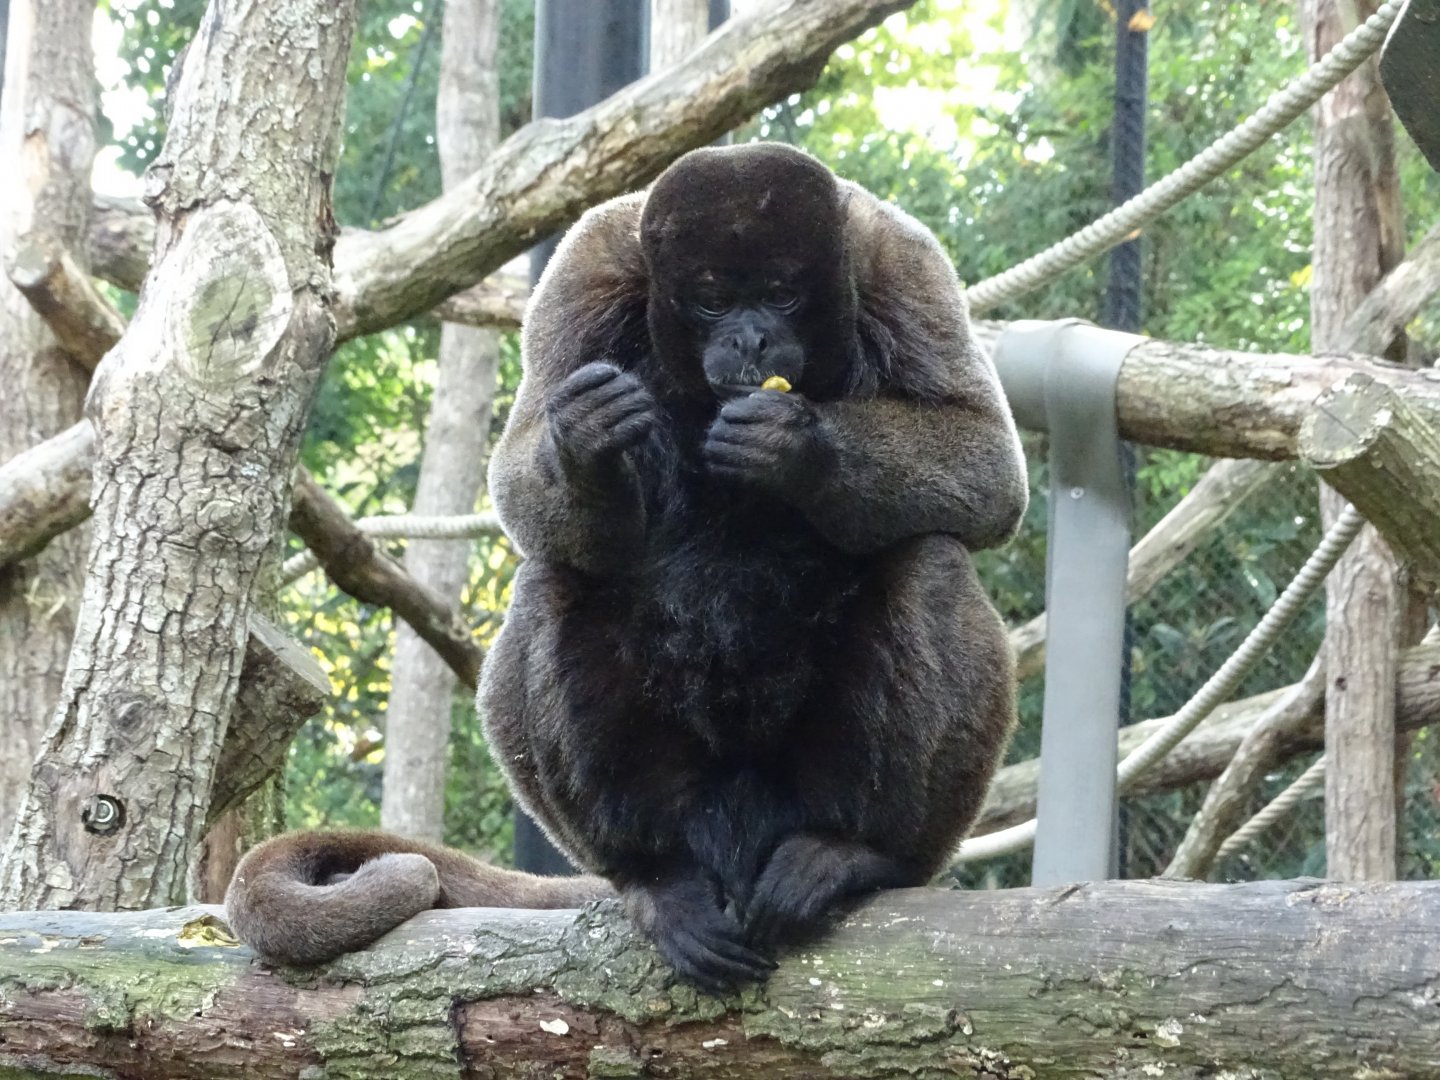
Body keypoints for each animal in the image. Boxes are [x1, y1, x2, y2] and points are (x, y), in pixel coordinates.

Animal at [225, 143, 1027, 990]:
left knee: (929, 555)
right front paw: (586, 442)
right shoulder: (588, 267)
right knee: (552, 575)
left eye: (781, 293)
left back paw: (850, 853)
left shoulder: (897, 261)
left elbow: (987, 467)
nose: (751, 341)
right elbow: (521, 475)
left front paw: (796, 444)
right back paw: (655, 878)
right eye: (713, 299)